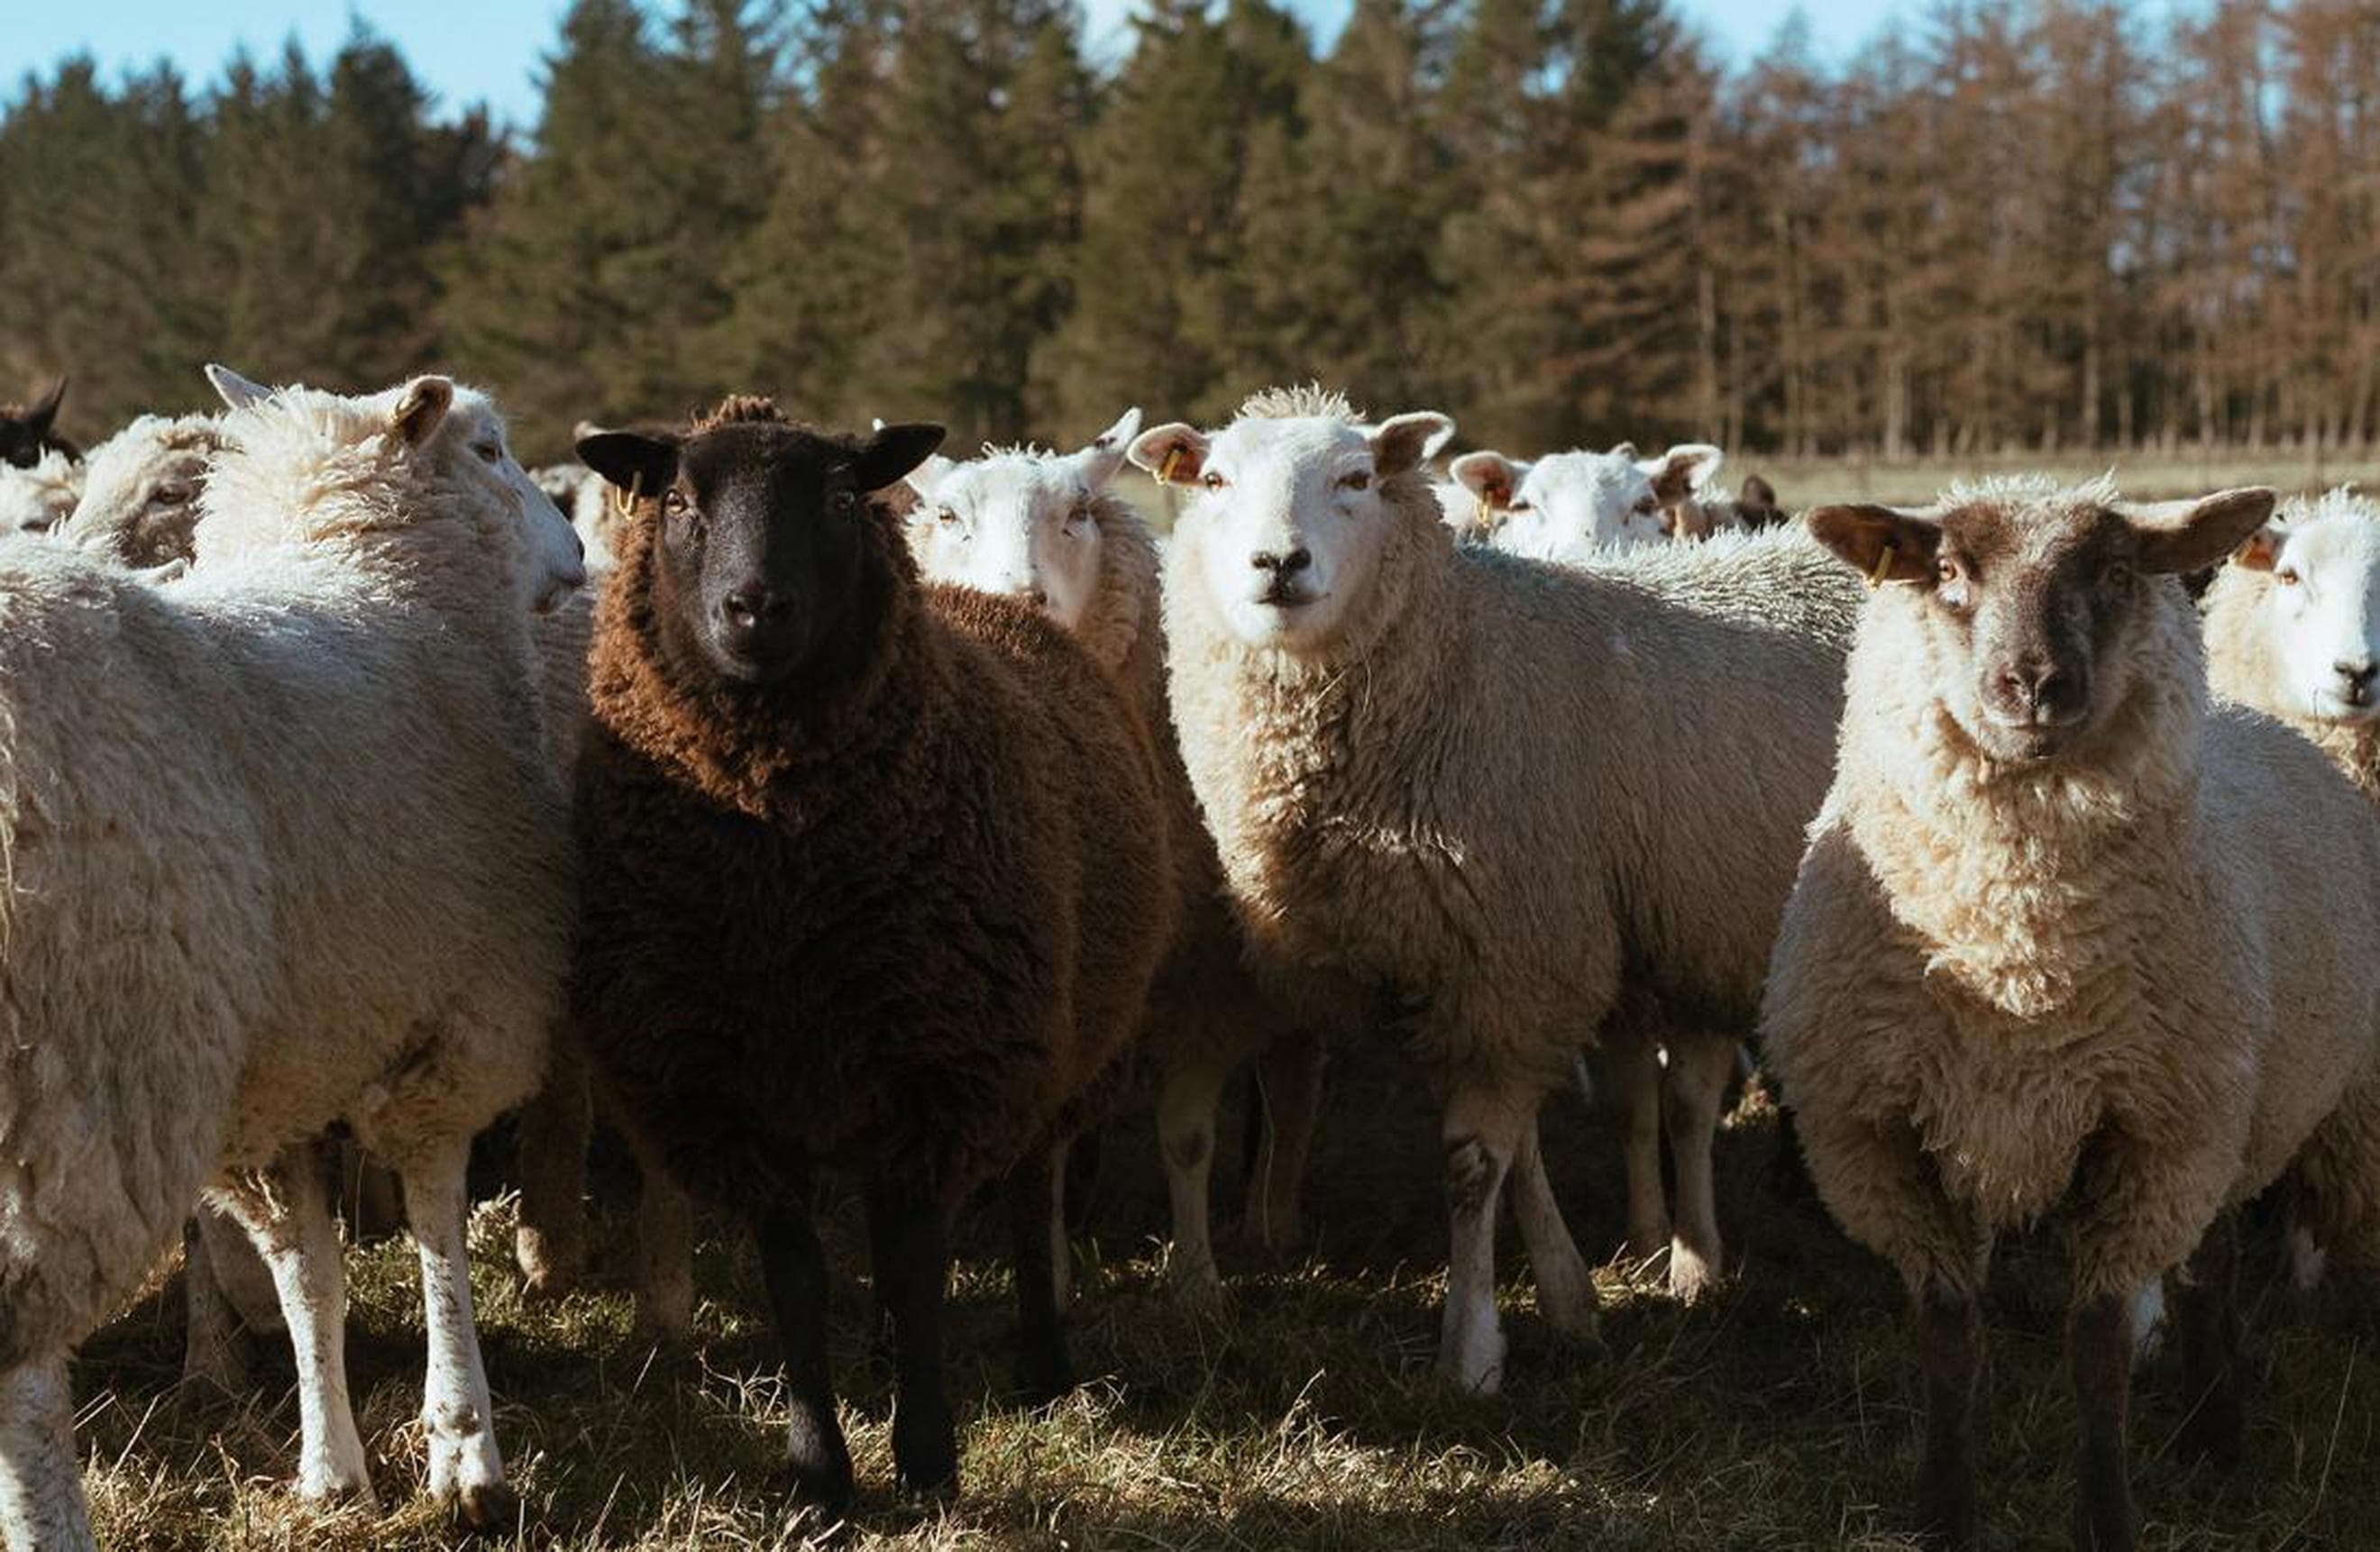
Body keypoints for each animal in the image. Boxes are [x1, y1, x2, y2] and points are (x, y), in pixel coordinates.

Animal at [0, 366, 585, 1549]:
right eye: (489, 450)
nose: (581, 552)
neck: (378, 586)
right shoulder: (454, 1019)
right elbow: (434, 1231)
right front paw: (466, 1450)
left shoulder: (287, 1065)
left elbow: (308, 1275)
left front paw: (332, 1470)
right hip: (73, 1079)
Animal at [570, 397, 1176, 1514]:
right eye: (677, 502)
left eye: (846, 500)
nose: (754, 609)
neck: (783, 870)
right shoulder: (738, 1098)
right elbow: (802, 1284)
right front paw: (820, 1473)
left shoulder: (942, 1071)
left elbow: (919, 1266)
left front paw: (929, 1461)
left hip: (1052, 1046)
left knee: (1029, 1195)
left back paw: (1043, 1366)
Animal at [902, 409, 1325, 1300]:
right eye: (948, 517)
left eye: (1078, 514)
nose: (1013, 600)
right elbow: (1054, 1142)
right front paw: (1052, 1263)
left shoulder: (1204, 970)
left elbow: (1187, 1137)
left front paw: (1196, 1282)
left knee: (1293, 1079)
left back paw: (1271, 1218)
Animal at [1762, 476, 2380, 1551]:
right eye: (1948, 570)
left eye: (2119, 571)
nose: (2033, 686)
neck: (2019, 968)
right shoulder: (1880, 1141)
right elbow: (1948, 1333)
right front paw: (1947, 1511)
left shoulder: (2148, 1139)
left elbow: (2096, 1347)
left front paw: (2105, 1517)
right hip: (2229, 1104)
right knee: (2214, 1263)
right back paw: (2212, 1437)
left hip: (2315, 1110)